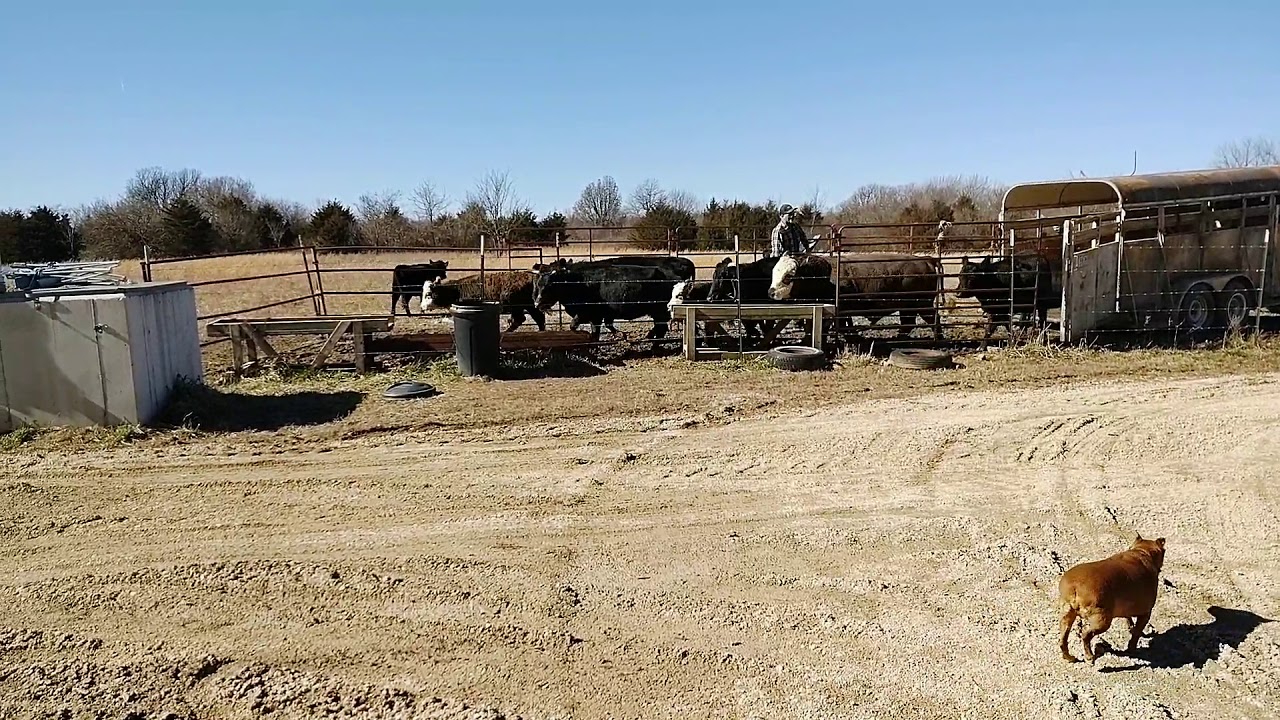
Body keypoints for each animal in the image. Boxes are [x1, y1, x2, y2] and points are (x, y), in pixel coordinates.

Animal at [530, 259, 683, 340]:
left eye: (551, 284)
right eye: (538, 283)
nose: (538, 303)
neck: (579, 282)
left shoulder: (588, 313)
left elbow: (574, 326)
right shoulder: (597, 317)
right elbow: (598, 330)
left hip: (660, 312)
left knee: (661, 328)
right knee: (660, 328)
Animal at [768, 252, 943, 339]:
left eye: (788, 276)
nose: (771, 292)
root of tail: (925, 260)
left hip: (922, 304)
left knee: (932, 319)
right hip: (908, 307)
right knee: (908, 324)